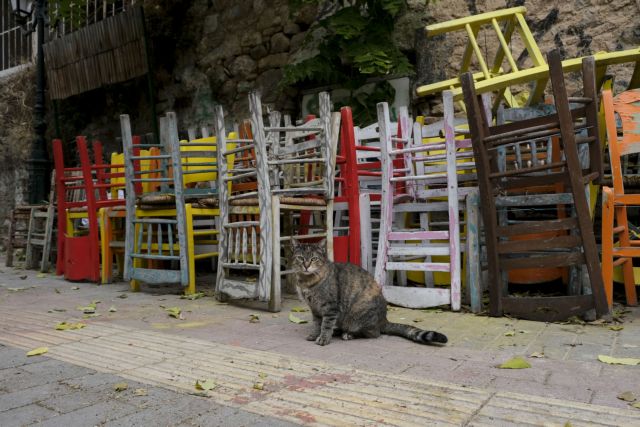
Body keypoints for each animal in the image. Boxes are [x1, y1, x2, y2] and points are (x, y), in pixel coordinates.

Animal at [292, 241, 448, 348]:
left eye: (314, 259)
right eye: (300, 258)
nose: (306, 265)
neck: (306, 282)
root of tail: (384, 320)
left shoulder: (330, 307)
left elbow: (325, 324)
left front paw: (323, 338)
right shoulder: (315, 309)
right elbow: (317, 323)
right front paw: (314, 334)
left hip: (358, 312)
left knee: (373, 333)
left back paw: (348, 334)